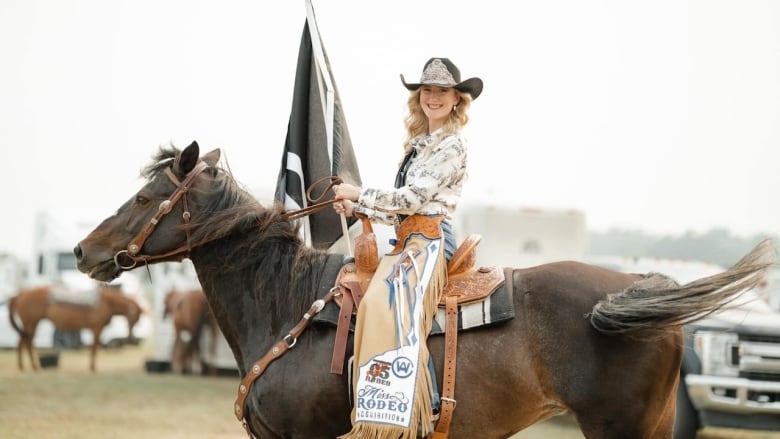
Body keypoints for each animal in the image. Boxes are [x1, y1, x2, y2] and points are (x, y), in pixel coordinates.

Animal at [9, 284, 143, 372]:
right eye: (135, 318)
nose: (131, 338)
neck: (106, 302)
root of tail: (20, 294)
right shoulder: (97, 329)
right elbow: (94, 348)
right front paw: (92, 368)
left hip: (28, 325)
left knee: (22, 342)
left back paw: (23, 366)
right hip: (31, 324)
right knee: (27, 342)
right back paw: (34, 366)